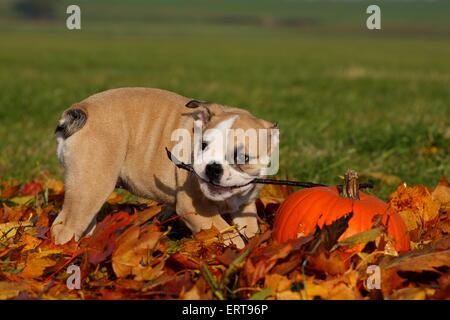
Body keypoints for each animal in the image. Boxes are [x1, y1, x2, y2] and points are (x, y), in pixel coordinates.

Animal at [51, 87, 280, 248]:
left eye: (242, 157)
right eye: (203, 145)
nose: (213, 168)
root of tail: (82, 108)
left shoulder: (244, 206)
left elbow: (250, 229)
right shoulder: (196, 208)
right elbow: (227, 233)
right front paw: (236, 251)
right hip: (90, 187)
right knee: (64, 226)